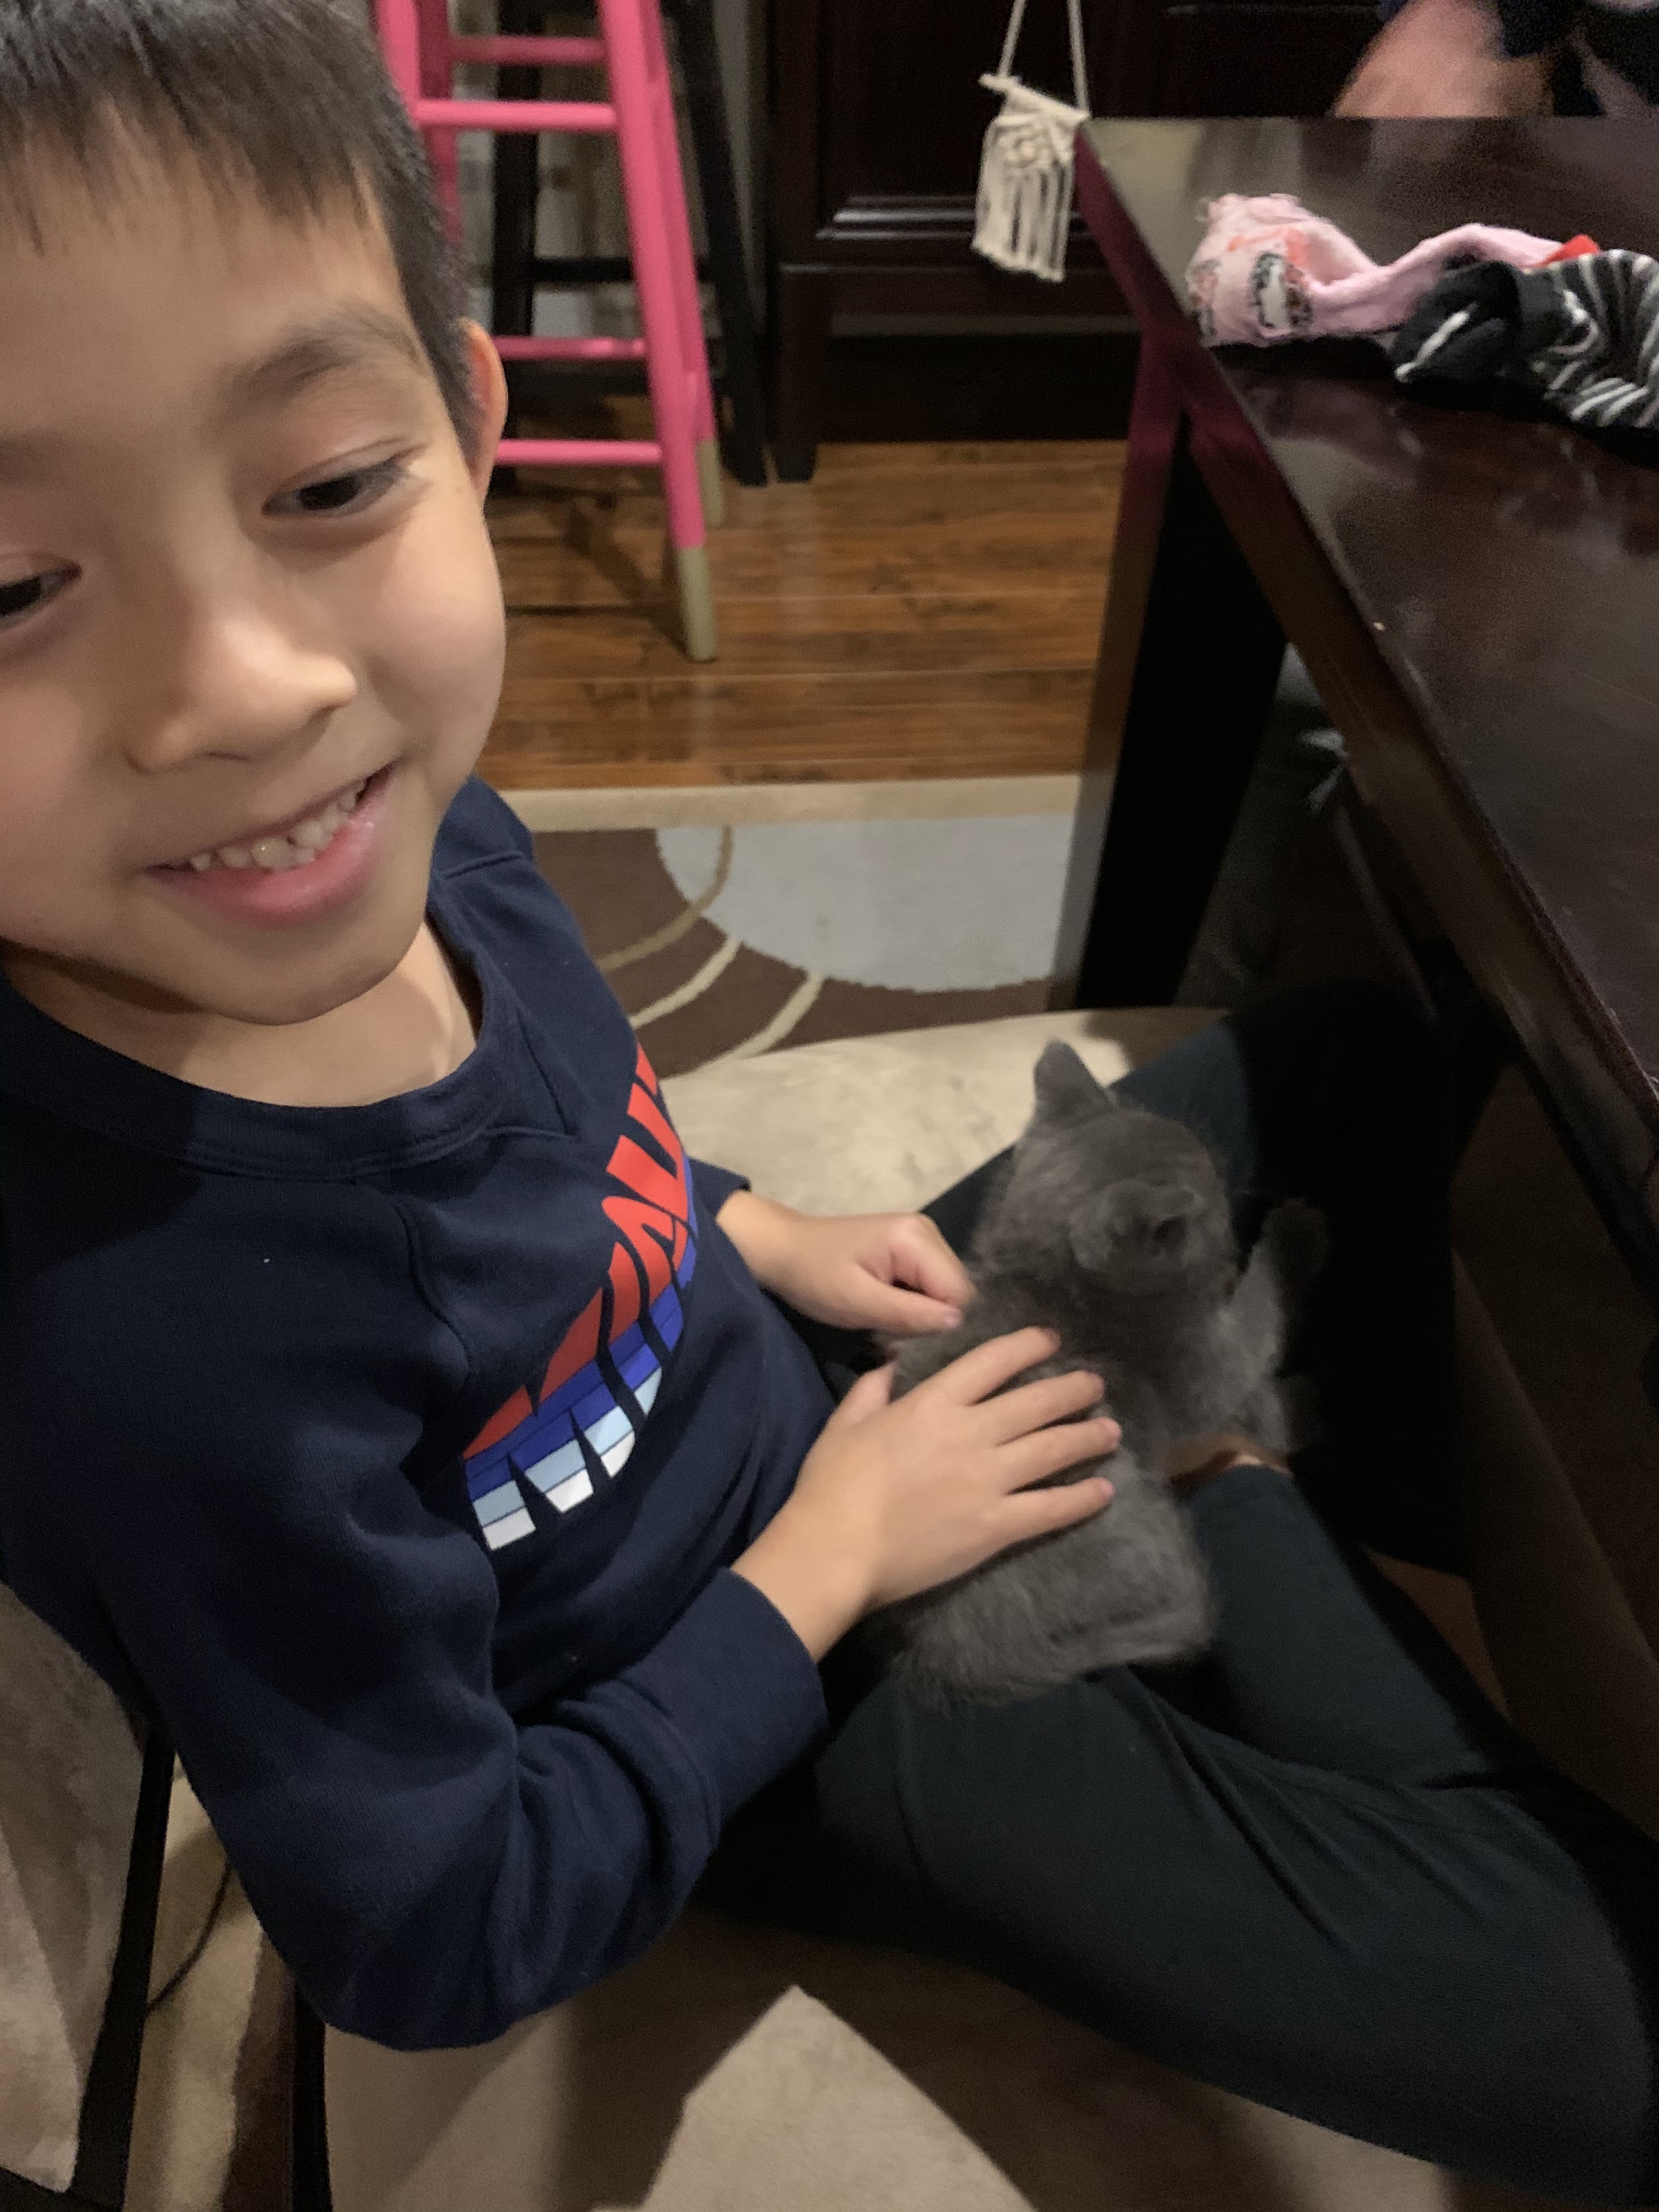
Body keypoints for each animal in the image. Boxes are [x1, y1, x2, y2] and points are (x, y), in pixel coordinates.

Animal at [866, 1040, 1326, 1708]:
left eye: (1214, 1166)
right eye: (1206, 1202)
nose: (1224, 1190)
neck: (1052, 1291)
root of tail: (945, 1654)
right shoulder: (1198, 1365)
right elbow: (1260, 1313)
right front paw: (1299, 1236)